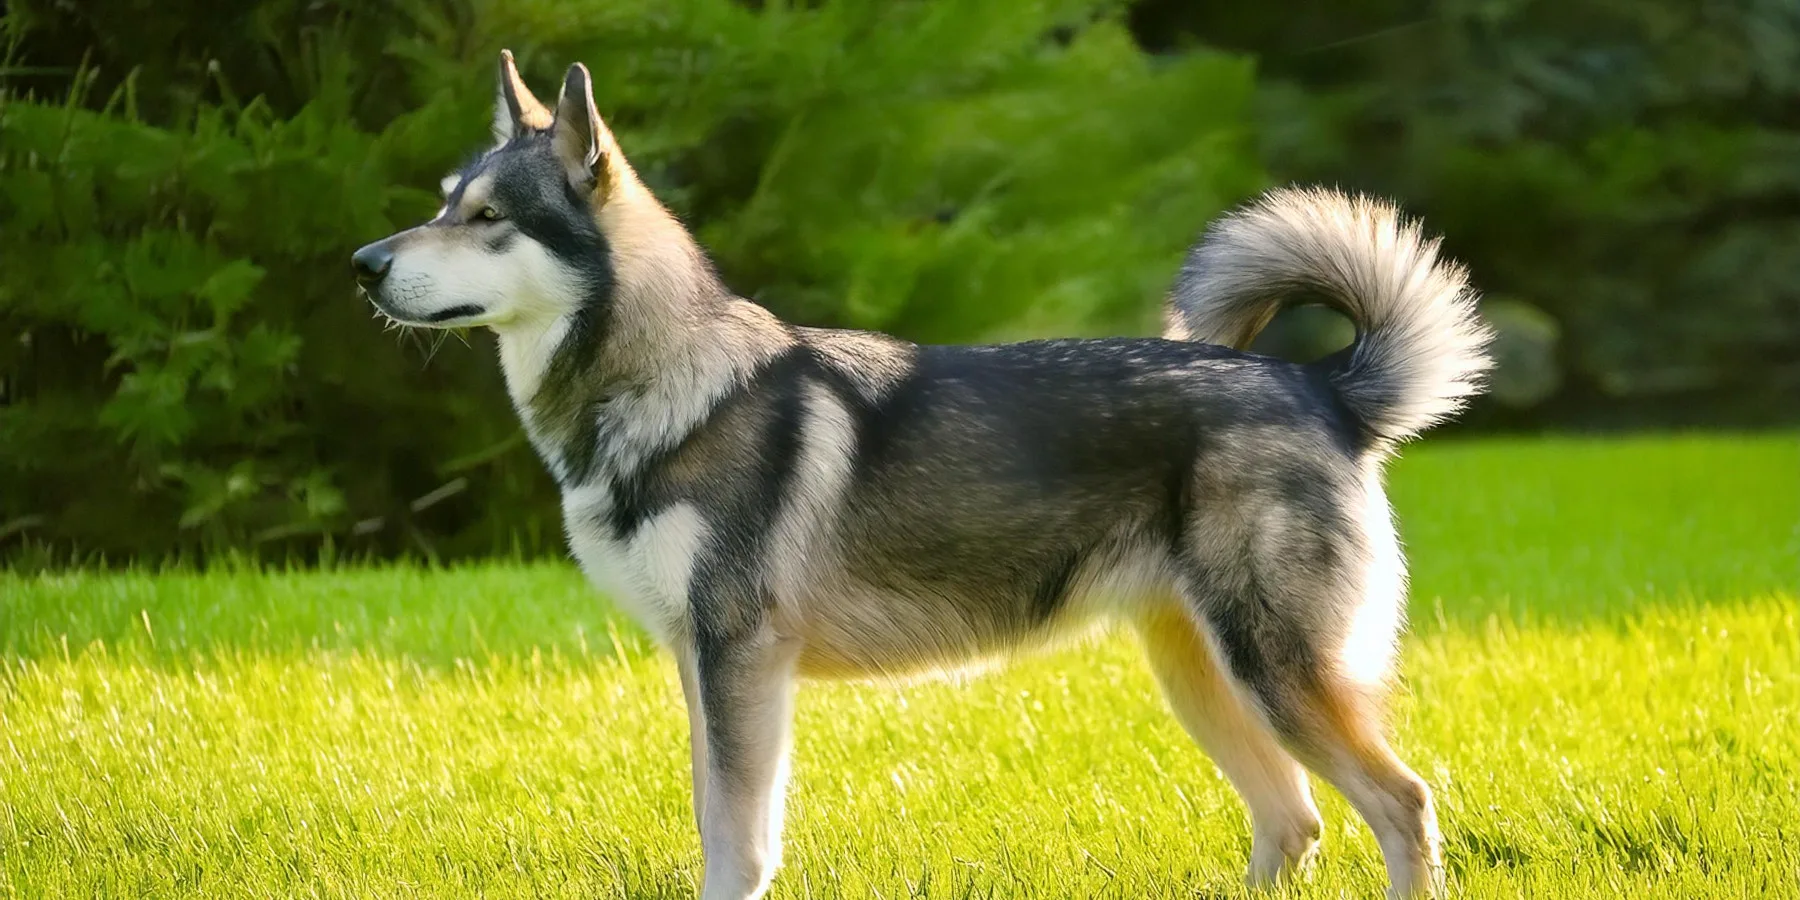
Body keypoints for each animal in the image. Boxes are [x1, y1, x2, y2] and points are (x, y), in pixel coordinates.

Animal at [347, 51, 1490, 900]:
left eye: (488, 217)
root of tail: (1322, 388)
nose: (362, 263)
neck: (670, 385)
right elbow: (717, 820)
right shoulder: (702, 667)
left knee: (1400, 804)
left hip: (1275, 677)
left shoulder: (740, 662)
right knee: (1295, 821)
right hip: (1205, 678)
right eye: (443, 204)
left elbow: (736, 844)